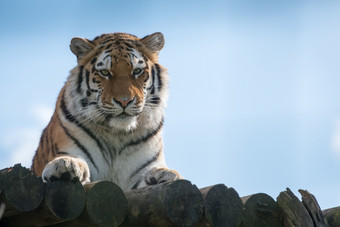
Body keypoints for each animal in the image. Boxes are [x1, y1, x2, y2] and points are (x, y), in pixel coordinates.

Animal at [30, 31, 182, 191]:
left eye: (137, 71)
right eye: (104, 72)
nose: (124, 101)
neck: (117, 134)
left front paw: (165, 174)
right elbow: (74, 160)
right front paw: (65, 165)